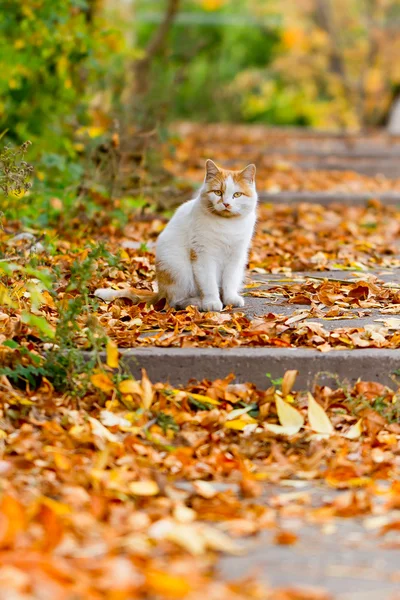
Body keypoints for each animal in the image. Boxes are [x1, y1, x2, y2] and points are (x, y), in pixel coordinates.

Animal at [96, 157, 260, 312]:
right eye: (218, 192)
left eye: (237, 195)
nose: (226, 204)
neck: (227, 225)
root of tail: (160, 292)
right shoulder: (203, 255)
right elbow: (209, 284)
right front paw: (212, 302)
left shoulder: (236, 257)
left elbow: (229, 281)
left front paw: (230, 299)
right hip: (178, 268)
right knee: (174, 302)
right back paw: (196, 303)